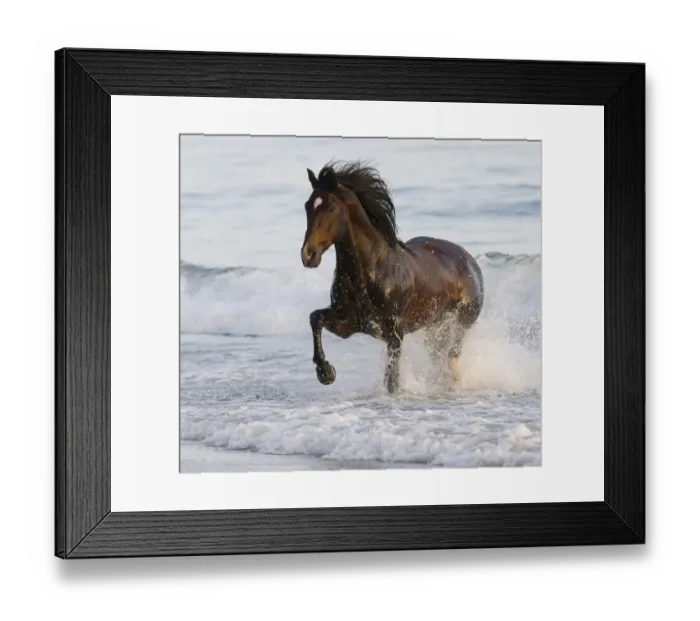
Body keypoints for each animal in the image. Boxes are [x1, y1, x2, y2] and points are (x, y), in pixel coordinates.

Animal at [300, 160, 484, 394]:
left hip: (462, 321)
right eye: (308, 206)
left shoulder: (394, 335)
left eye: (331, 208)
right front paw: (325, 372)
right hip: (435, 328)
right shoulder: (348, 323)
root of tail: (470, 261)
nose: (308, 255)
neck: (370, 273)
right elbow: (315, 318)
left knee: (452, 353)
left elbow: (392, 380)